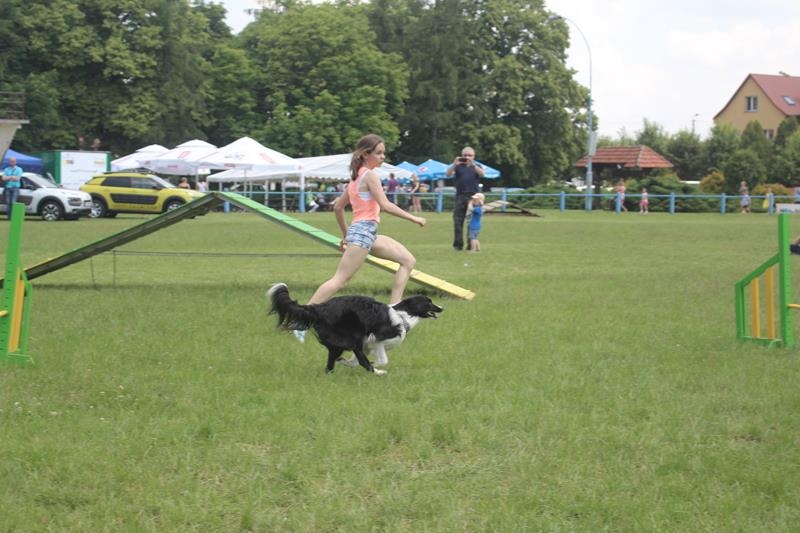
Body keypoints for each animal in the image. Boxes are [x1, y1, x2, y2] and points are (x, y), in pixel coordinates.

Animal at [267, 283, 443, 375]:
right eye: (428, 302)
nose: (442, 308)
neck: (403, 315)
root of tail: (319, 308)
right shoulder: (375, 340)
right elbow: (380, 360)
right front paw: (376, 365)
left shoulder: (367, 345)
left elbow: (355, 360)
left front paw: (347, 363)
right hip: (354, 335)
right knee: (360, 359)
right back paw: (376, 372)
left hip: (341, 342)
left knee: (331, 362)